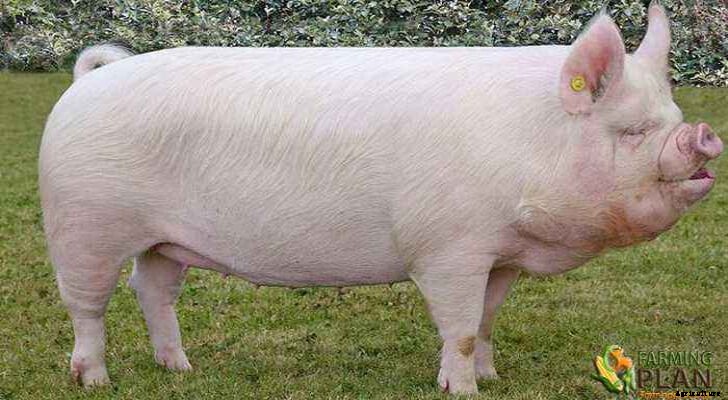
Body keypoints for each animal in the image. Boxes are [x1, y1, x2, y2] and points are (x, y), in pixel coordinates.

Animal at [38, 3, 722, 394]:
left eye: (670, 116)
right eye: (630, 131)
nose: (702, 137)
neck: (529, 143)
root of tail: (89, 81)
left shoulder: (498, 254)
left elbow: (487, 320)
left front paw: (493, 377)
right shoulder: (447, 248)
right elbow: (460, 327)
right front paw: (463, 390)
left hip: (162, 240)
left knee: (151, 289)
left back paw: (179, 371)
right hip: (83, 224)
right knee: (87, 305)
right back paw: (95, 380)